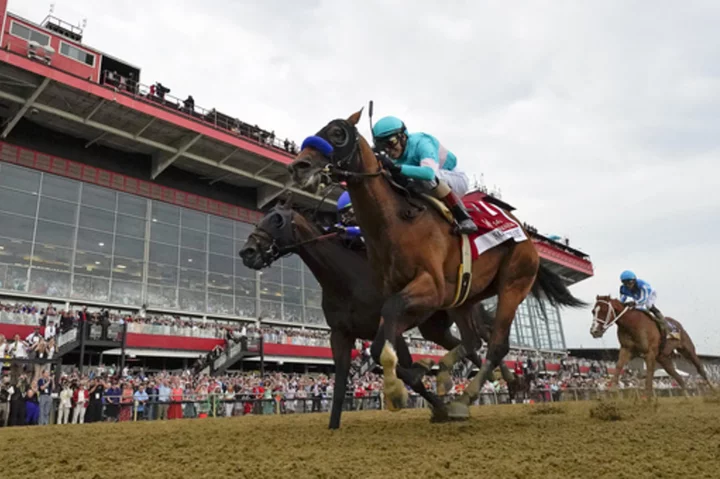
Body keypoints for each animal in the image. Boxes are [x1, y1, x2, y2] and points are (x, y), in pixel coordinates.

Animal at [238, 200, 512, 428]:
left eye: (277, 220)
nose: (247, 252)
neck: (348, 279)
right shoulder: (341, 334)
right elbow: (342, 382)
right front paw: (333, 425)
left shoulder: (394, 327)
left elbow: (402, 369)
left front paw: (437, 402)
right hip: (434, 328)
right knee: (468, 347)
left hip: (461, 311)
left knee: (483, 339)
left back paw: (507, 380)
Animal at [286, 109, 584, 420]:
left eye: (338, 133)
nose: (298, 166)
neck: (396, 221)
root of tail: (526, 235)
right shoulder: (397, 295)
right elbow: (385, 330)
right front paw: (413, 372)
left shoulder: (430, 288)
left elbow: (389, 320)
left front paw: (394, 384)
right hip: (463, 299)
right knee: (473, 341)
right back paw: (457, 379)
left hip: (513, 284)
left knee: (496, 344)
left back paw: (467, 396)